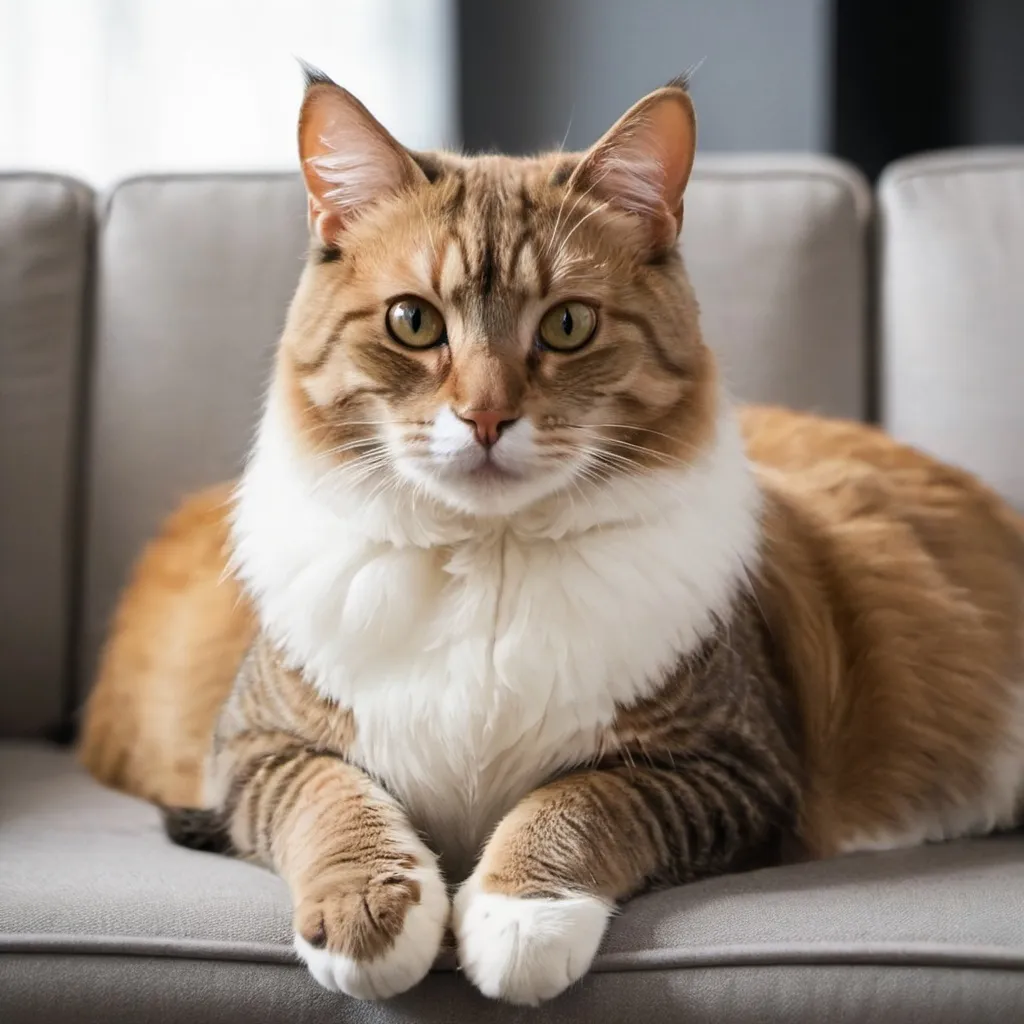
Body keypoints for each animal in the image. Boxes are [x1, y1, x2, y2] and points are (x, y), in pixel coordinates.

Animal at [77, 66, 1024, 1007]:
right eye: (413, 322)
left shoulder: (733, 768)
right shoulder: (256, 751)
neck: (490, 554)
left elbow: (577, 804)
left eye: (568, 325)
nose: (486, 417)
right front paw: (368, 916)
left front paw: (518, 916)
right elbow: (333, 804)